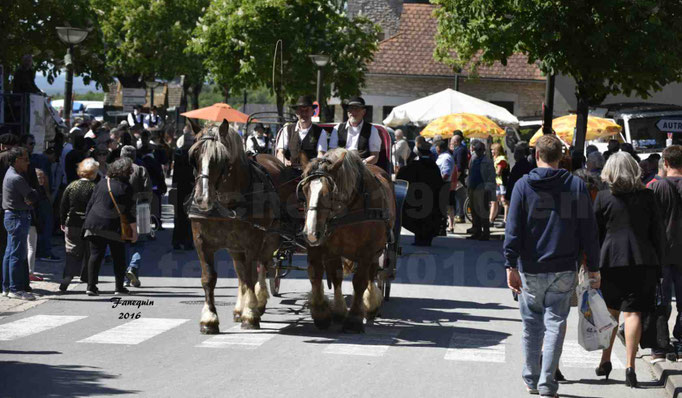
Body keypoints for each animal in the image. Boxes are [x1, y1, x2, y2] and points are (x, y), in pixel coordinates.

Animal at [186, 119, 294, 332]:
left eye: (220, 159)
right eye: (194, 156)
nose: (202, 199)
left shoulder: (253, 241)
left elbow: (252, 275)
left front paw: (250, 314)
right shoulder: (201, 242)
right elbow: (209, 278)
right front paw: (209, 319)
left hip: (270, 237)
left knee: (261, 265)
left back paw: (258, 302)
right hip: (235, 246)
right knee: (241, 272)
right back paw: (239, 308)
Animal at [298, 148, 394, 332]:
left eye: (329, 194)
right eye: (305, 189)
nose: (311, 234)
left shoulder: (367, 251)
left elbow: (360, 281)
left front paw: (354, 318)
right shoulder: (322, 247)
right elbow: (319, 275)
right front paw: (323, 313)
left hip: (377, 249)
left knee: (371, 273)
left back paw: (371, 305)